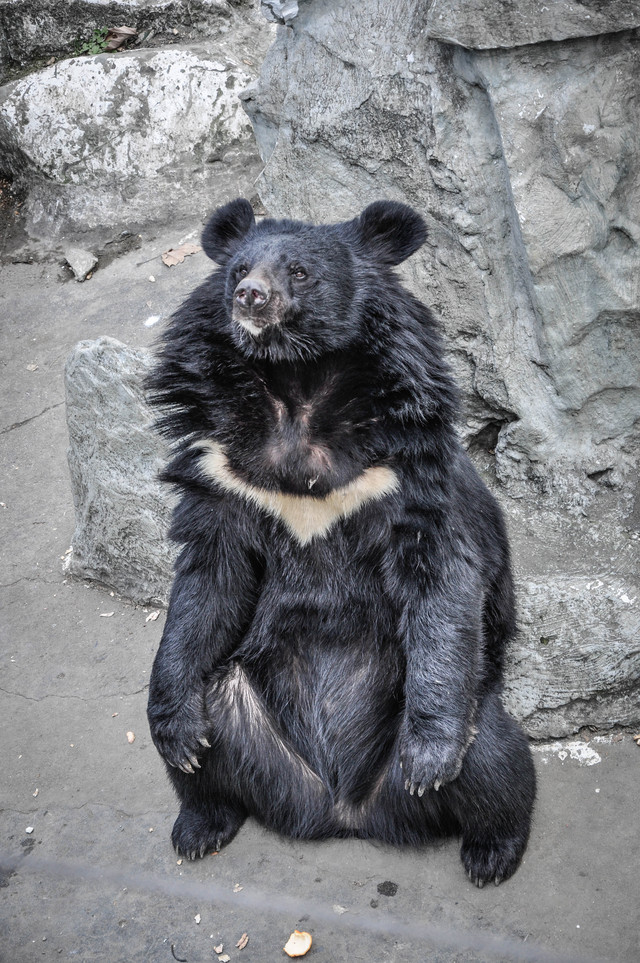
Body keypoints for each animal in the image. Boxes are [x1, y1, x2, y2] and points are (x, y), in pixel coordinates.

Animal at [145, 198, 536, 888]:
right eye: (239, 269)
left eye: (299, 272)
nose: (249, 296)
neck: (297, 386)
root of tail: (342, 809)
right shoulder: (224, 470)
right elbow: (209, 577)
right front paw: (173, 728)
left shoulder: (404, 469)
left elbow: (442, 576)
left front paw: (430, 758)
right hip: (247, 714)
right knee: (212, 741)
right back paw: (198, 822)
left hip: (460, 715)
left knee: (494, 757)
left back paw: (491, 850)